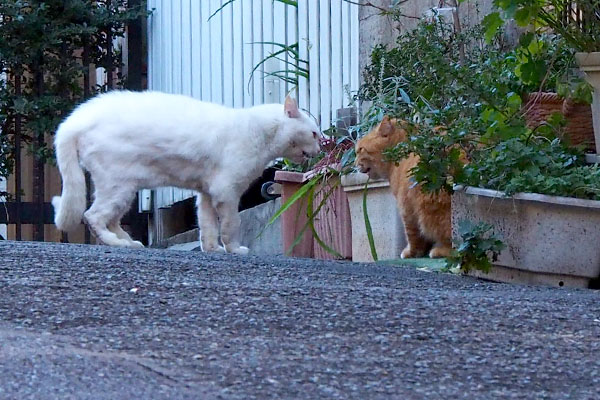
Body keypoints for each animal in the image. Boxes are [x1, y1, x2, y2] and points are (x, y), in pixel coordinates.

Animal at [53, 90, 322, 253]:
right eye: (314, 133)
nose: (322, 146)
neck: (260, 132)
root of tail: (73, 121)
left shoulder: (207, 193)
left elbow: (207, 225)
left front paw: (213, 249)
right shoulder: (226, 191)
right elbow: (230, 224)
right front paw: (234, 249)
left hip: (123, 189)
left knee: (110, 219)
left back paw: (128, 240)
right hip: (118, 186)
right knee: (93, 216)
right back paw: (118, 244)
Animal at [356, 117, 450, 258]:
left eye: (361, 149)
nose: (354, 163)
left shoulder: (406, 206)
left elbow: (412, 235)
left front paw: (411, 252)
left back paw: (441, 250)